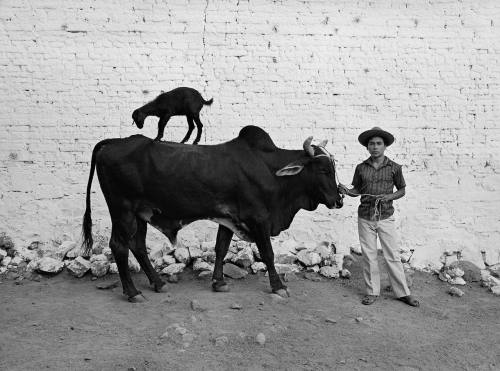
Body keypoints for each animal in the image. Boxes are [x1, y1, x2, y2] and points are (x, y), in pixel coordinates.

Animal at [83, 126, 344, 300]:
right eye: (323, 170)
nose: (338, 200)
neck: (270, 170)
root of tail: (113, 142)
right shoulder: (259, 218)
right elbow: (268, 254)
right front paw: (278, 286)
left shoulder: (229, 219)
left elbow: (221, 248)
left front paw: (218, 282)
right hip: (122, 210)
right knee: (119, 246)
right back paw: (132, 292)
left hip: (141, 214)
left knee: (137, 246)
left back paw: (158, 283)